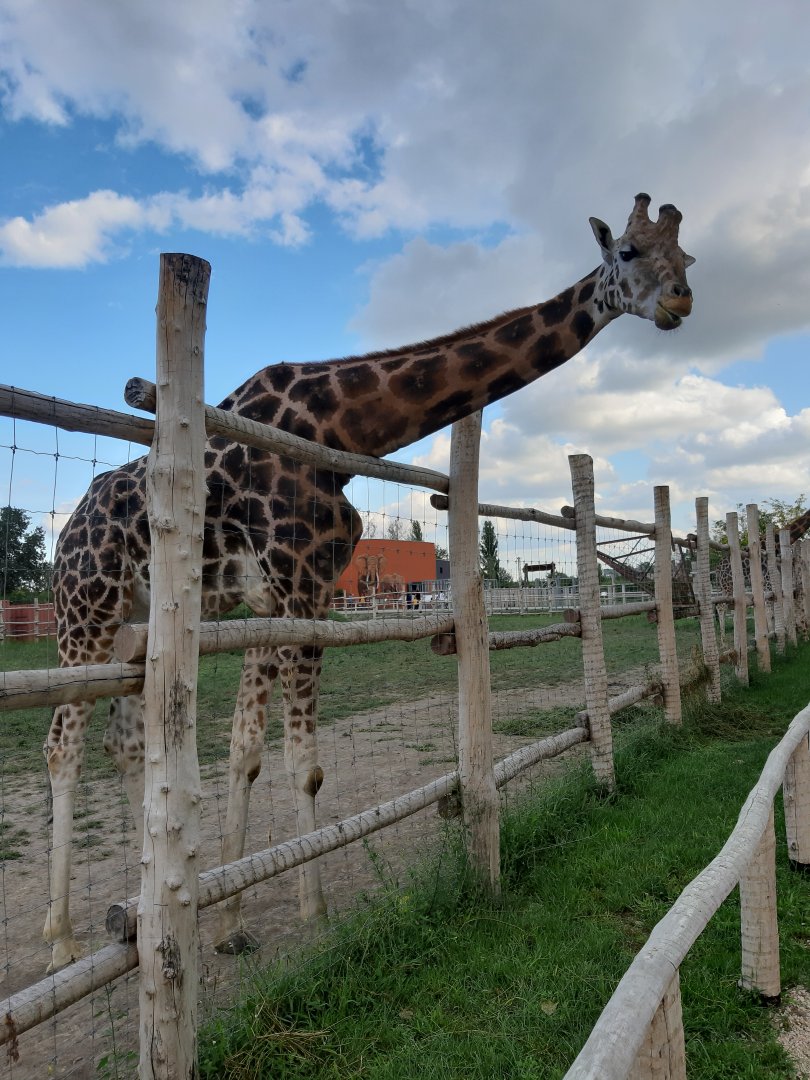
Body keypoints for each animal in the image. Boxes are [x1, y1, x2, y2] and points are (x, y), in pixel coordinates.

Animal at [44, 192, 693, 972]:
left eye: (688, 258)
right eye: (627, 251)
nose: (681, 301)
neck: (342, 431)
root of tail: (65, 532)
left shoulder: (282, 594)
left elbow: (246, 752)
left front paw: (227, 920)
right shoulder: (297, 584)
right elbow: (302, 762)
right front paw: (315, 916)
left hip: (134, 623)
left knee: (124, 742)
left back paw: (145, 907)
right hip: (83, 612)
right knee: (62, 747)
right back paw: (60, 940)